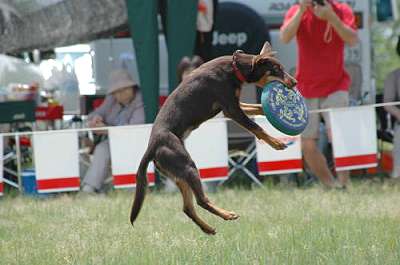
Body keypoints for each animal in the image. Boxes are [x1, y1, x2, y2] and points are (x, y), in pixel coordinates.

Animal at [131, 41, 296, 233]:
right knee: (201, 200)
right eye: (276, 69)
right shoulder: (231, 109)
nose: (295, 82)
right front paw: (276, 143)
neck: (234, 67)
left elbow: (257, 107)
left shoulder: (235, 104)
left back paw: (208, 229)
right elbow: (256, 127)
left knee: (188, 207)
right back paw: (227, 215)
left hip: (179, 175)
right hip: (187, 166)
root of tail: (151, 147)